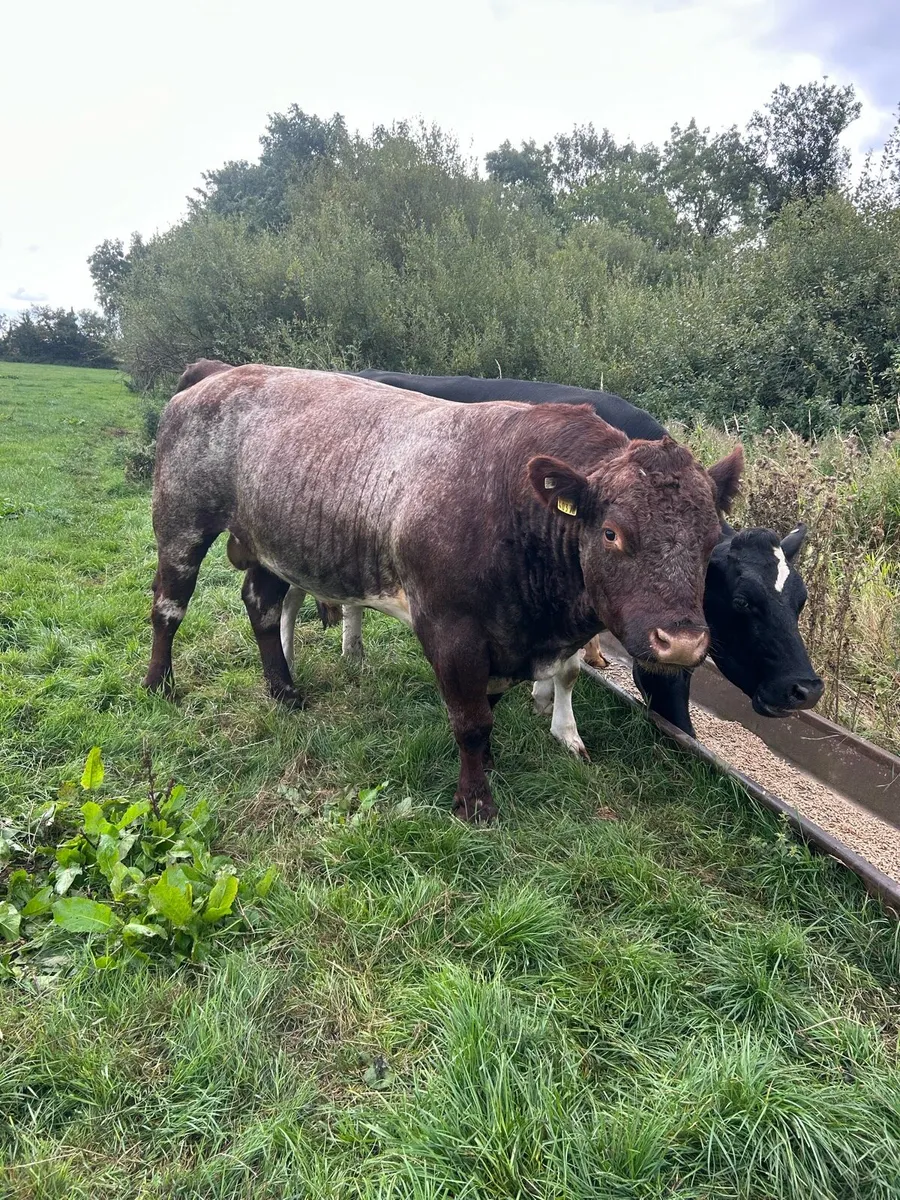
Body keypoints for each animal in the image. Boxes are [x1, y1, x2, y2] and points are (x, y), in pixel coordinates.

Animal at [148, 365, 742, 819]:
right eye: (612, 533)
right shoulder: (450, 628)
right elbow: (471, 720)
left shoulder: (506, 637)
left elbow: (492, 706)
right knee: (169, 606)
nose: (681, 642)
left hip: (270, 540)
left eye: (711, 539)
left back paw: (283, 689)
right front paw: (475, 801)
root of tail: (221, 371)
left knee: (263, 607)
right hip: (180, 523)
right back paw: (159, 684)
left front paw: (495, 763)